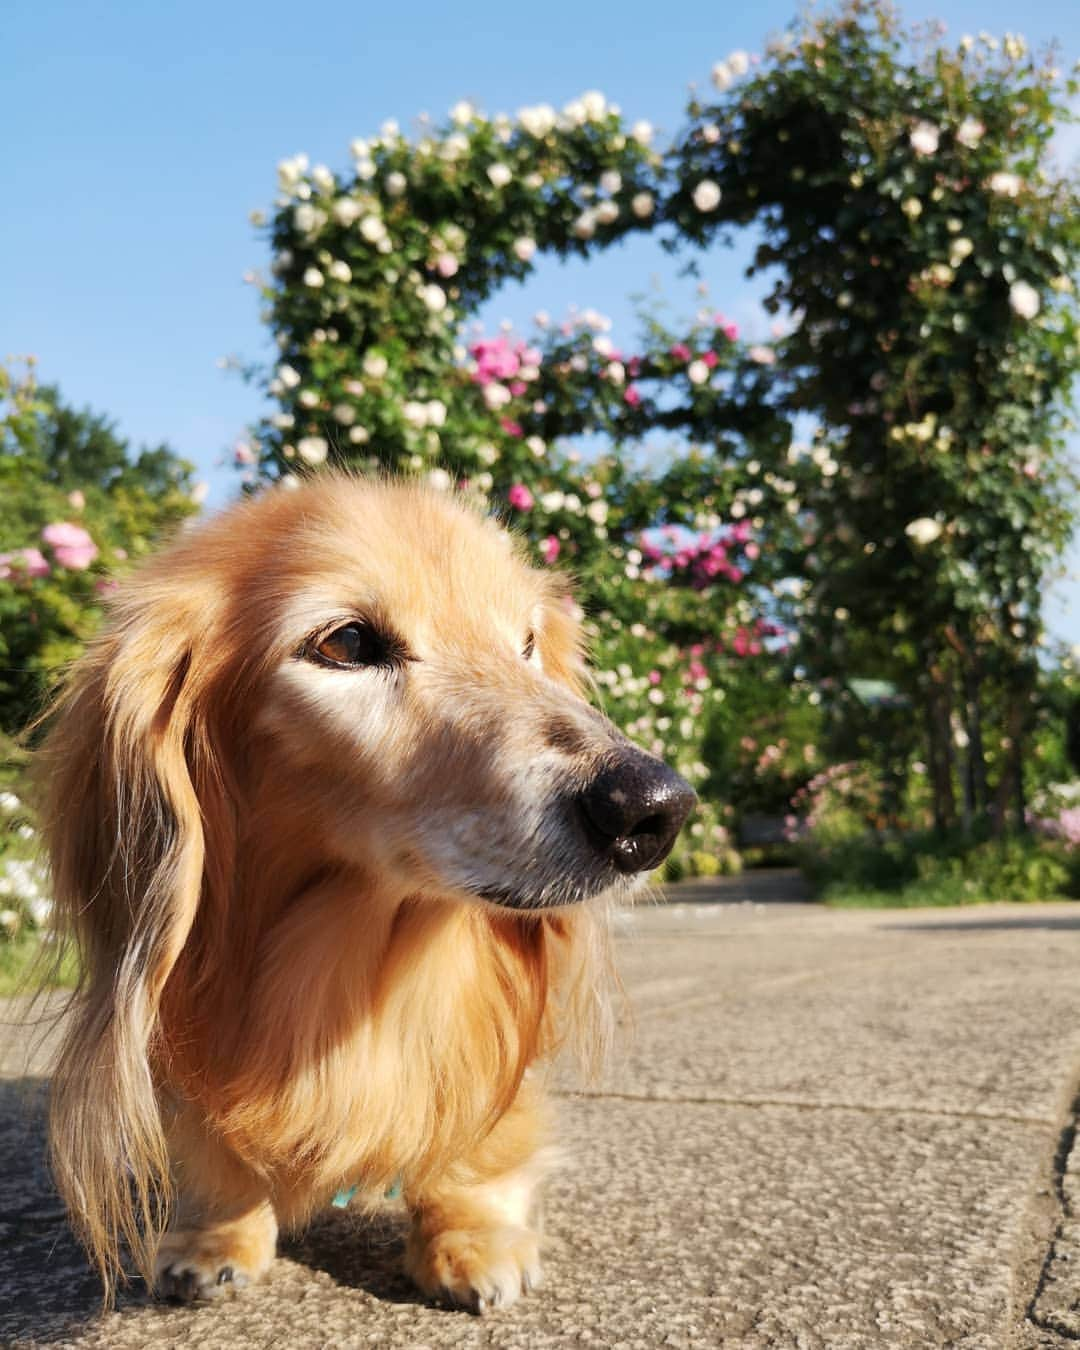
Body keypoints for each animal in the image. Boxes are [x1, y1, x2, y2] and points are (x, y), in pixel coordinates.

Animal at [37, 472, 696, 1306]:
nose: (655, 809)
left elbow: (480, 1124)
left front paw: (470, 1232)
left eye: (527, 645)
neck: (361, 967)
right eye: (346, 644)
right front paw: (218, 1231)